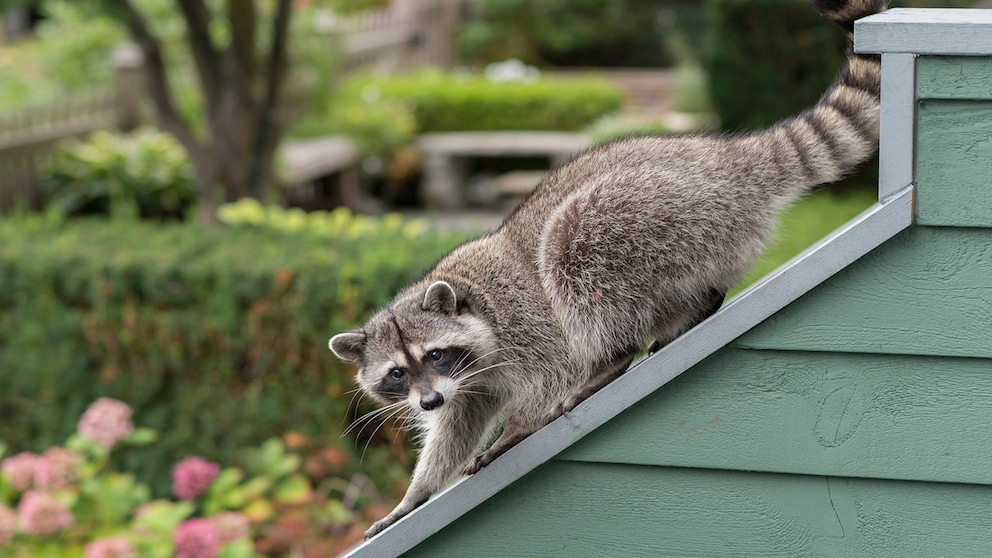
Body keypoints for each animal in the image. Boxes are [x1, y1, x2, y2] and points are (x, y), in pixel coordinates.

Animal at [330, 0, 888, 544]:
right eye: (397, 373)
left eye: (435, 354)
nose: (427, 401)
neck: (470, 305)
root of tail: (731, 163)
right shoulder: (468, 383)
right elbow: (457, 425)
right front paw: (415, 494)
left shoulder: (521, 322)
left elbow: (552, 370)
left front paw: (518, 427)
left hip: (648, 213)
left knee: (574, 254)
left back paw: (612, 358)